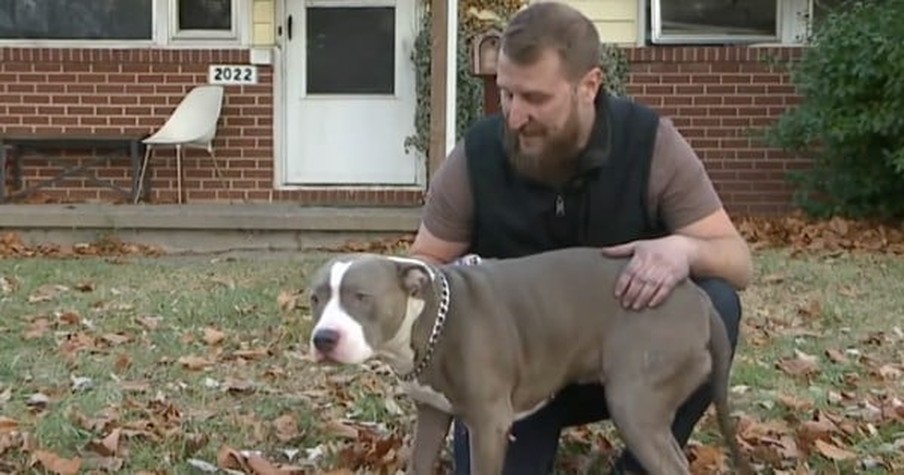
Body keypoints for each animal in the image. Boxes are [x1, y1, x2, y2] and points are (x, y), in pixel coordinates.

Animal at [308, 247, 752, 474]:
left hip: (635, 401)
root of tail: (697, 297)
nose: (323, 338)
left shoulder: (489, 426)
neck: (431, 319)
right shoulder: (432, 415)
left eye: (361, 297)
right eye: (315, 298)